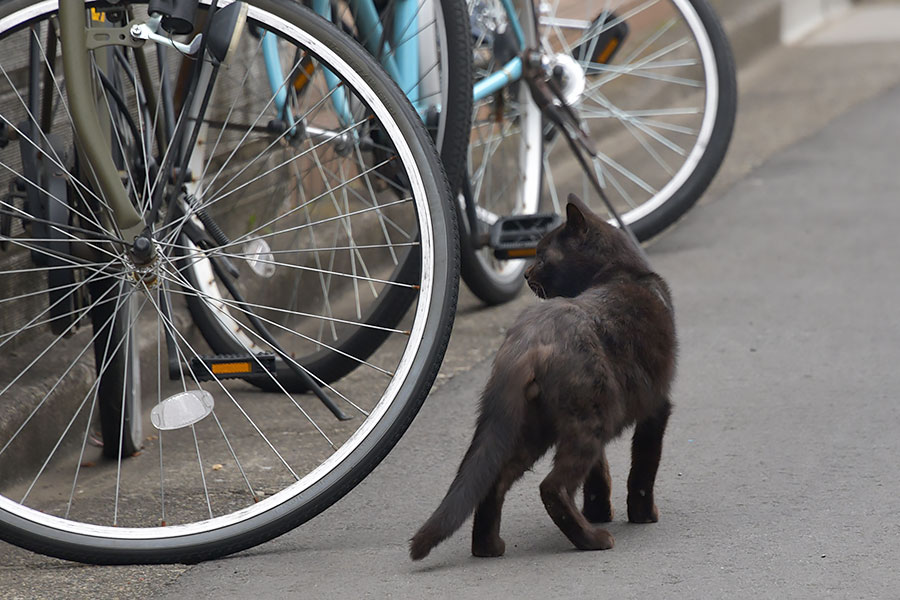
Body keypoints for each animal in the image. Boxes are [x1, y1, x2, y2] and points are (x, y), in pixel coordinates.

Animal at [408, 195, 676, 560]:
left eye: (543, 257)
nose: (526, 274)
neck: (622, 273)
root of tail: (527, 342)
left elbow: (599, 475)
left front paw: (598, 511)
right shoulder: (657, 406)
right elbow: (644, 468)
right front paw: (642, 515)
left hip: (531, 426)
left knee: (496, 482)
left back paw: (488, 547)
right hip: (588, 420)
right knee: (552, 487)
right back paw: (592, 539)